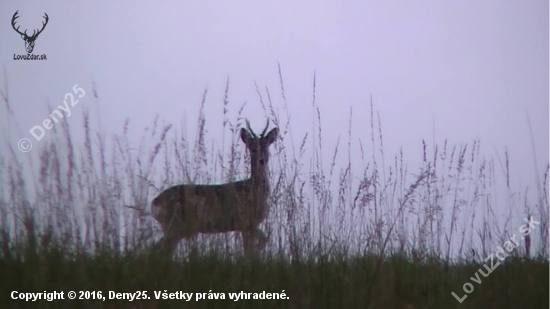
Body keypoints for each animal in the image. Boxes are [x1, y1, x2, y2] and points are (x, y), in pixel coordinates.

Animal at [151, 119, 280, 256]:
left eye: (266, 146)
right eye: (253, 149)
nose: (261, 160)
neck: (254, 190)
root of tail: (154, 202)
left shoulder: (249, 225)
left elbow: (259, 243)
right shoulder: (245, 221)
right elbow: (253, 247)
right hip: (174, 225)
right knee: (160, 250)